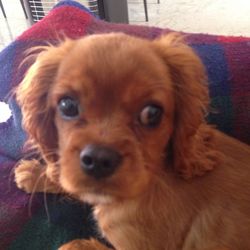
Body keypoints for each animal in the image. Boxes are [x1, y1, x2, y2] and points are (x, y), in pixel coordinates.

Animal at [14, 33, 250, 250]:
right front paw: (36, 174)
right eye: (67, 105)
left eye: (151, 113)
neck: (155, 177)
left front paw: (77, 245)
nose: (99, 160)